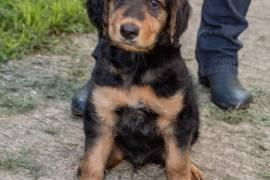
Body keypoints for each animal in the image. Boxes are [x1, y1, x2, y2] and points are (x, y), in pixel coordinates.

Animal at [77, 0, 202, 179]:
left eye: (154, 4)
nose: (128, 31)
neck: (135, 62)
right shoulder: (101, 114)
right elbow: (93, 161)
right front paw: (89, 170)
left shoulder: (177, 120)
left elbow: (178, 163)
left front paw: (185, 171)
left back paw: (192, 169)